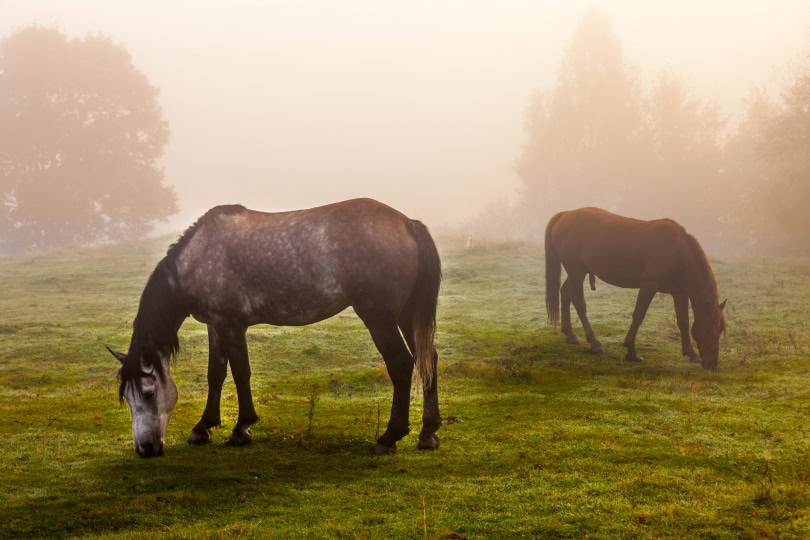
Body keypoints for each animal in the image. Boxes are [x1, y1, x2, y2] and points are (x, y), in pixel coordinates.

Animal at [106, 198, 442, 458]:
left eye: (149, 393)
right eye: (128, 398)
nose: (145, 449)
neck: (196, 259)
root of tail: (406, 223)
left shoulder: (232, 325)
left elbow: (241, 373)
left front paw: (241, 429)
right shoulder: (216, 325)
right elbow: (216, 374)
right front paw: (203, 427)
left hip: (379, 317)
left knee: (401, 364)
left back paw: (390, 437)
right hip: (406, 315)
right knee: (428, 360)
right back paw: (428, 433)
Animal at [544, 207, 726, 369]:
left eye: (721, 330)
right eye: (711, 328)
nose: (712, 363)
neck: (678, 252)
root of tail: (564, 214)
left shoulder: (679, 293)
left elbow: (683, 321)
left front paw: (691, 353)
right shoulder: (648, 286)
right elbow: (638, 316)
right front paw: (631, 351)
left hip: (577, 273)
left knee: (566, 293)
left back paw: (570, 335)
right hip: (577, 271)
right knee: (577, 301)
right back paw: (594, 343)